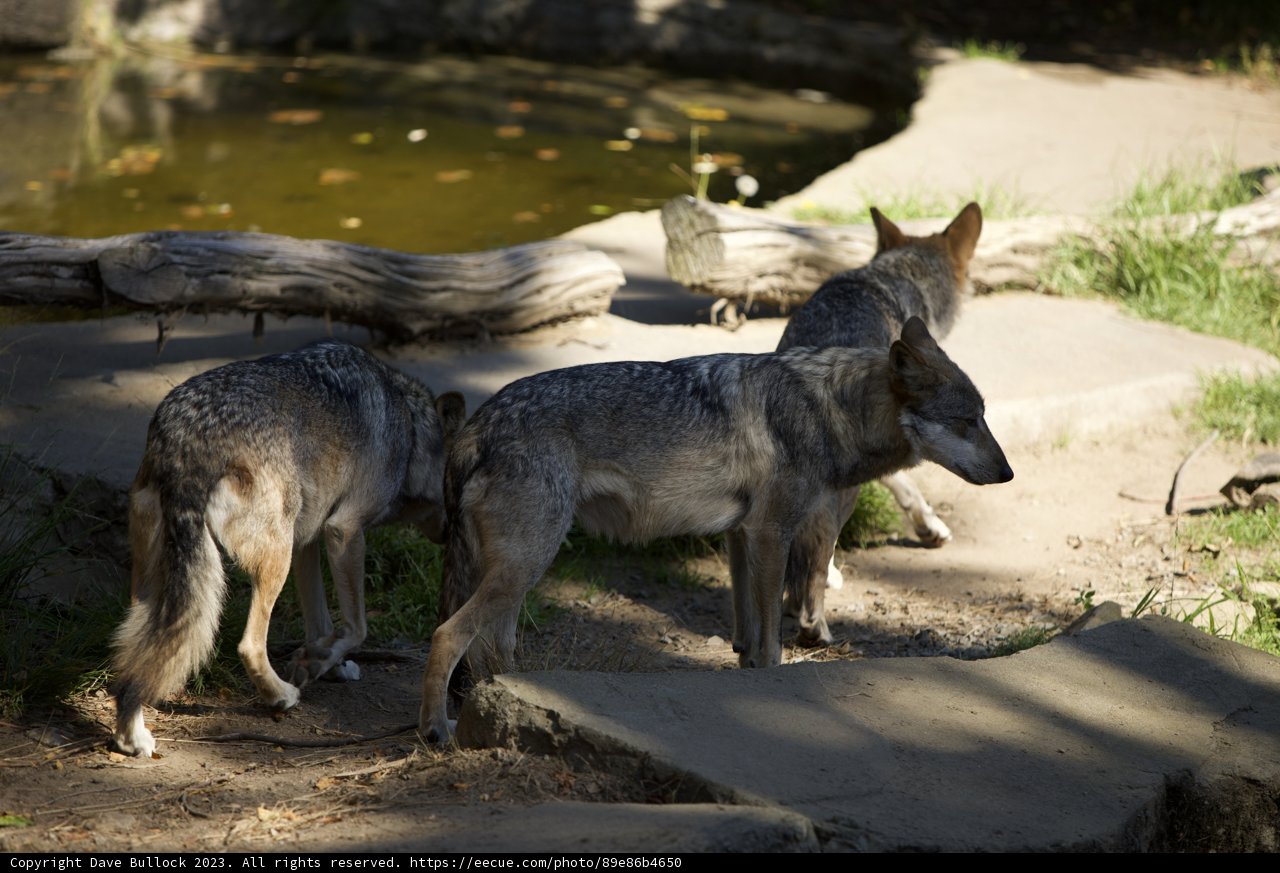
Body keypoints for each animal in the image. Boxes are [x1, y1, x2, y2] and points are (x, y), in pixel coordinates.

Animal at [111, 339, 465, 758]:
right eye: (458, 490)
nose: (454, 535)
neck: (410, 429)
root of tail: (187, 440)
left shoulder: (308, 541)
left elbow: (322, 624)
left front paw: (326, 662)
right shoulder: (343, 531)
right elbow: (358, 627)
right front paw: (317, 664)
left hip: (159, 584)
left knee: (136, 653)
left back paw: (130, 735)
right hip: (273, 561)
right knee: (248, 645)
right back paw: (281, 696)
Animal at [417, 316, 1011, 742]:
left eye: (984, 416)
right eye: (967, 422)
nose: (1007, 473)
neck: (827, 409)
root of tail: (475, 425)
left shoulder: (741, 538)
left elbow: (748, 638)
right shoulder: (772, 534)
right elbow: (772, 643)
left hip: (520, 574)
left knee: (489, 647)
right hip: (526, 564)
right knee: (448, 635)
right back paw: (437, 730)